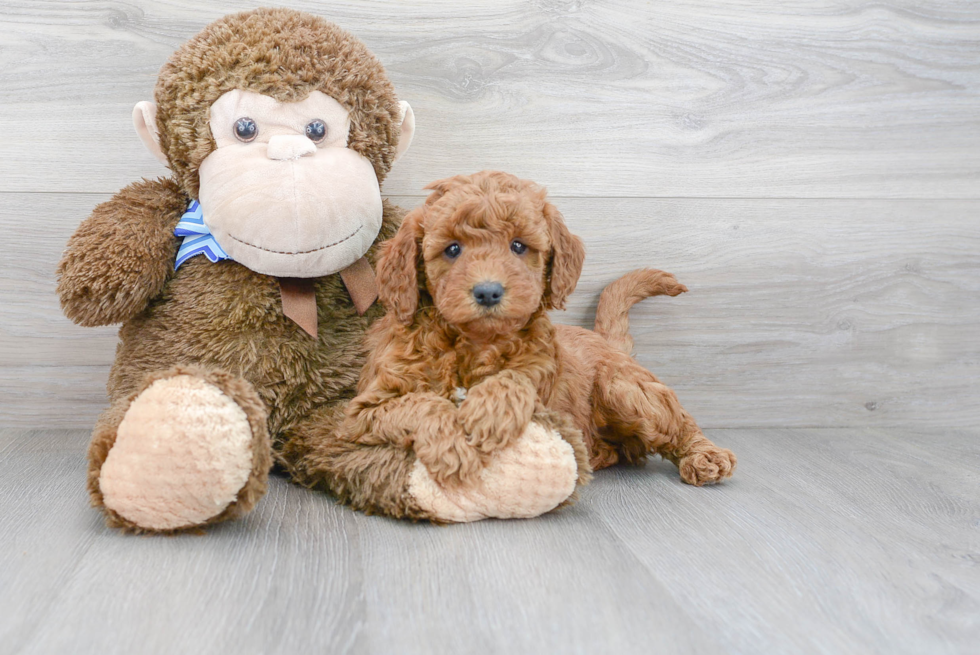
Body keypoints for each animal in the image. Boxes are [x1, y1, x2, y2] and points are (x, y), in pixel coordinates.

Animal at [344, 170, 736, 502]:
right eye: (452, 249)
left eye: (519, 246)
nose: (488, 292)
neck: (475, 343)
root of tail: (606, 342)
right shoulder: (364, 409)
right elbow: (422, 402)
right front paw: (453, 447)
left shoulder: (542, 369)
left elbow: (515, 378)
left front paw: (488, 413)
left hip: (624, 387)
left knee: (676, 422)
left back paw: (706, 456)